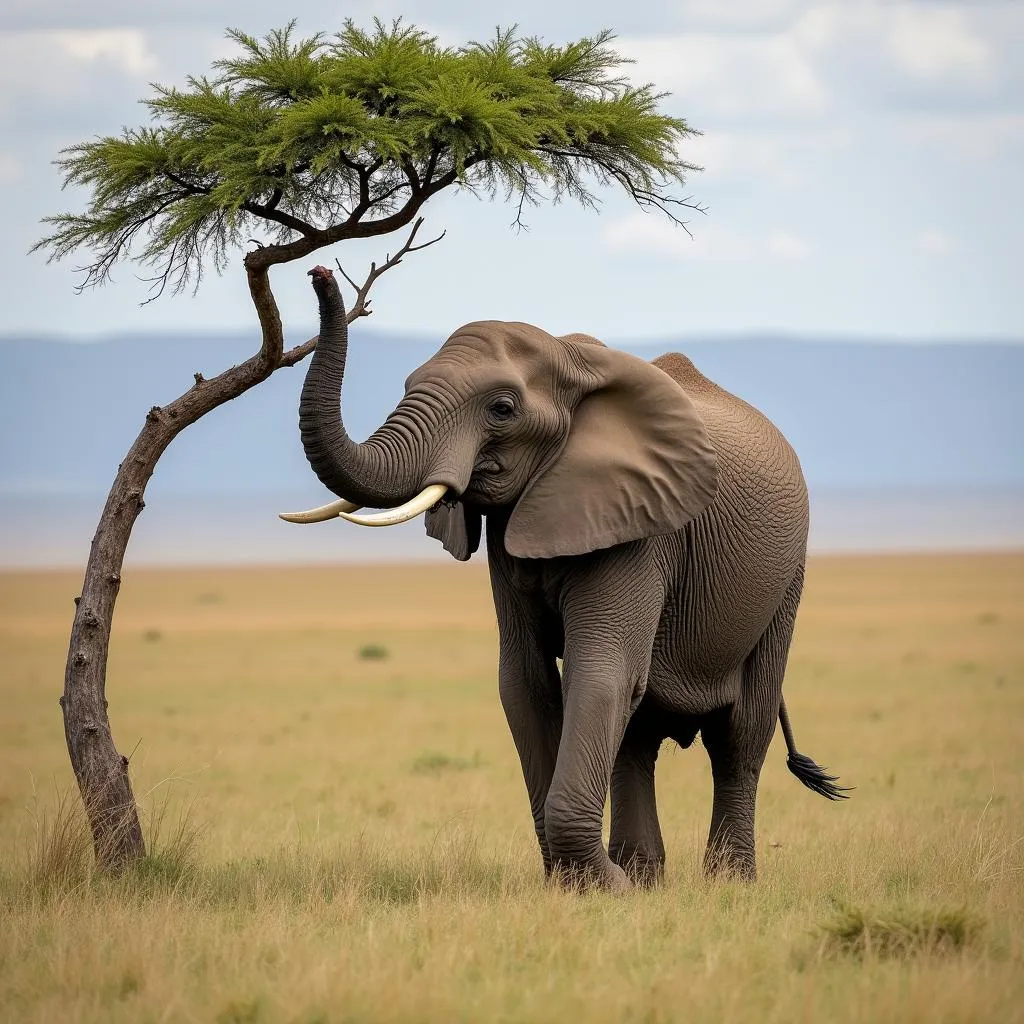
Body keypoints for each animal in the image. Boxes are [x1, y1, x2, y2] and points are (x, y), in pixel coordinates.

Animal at [282, 266, 847, 888]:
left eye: (502, 409)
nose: (317, 272)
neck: (573, 362)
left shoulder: (642, 526)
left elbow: (598, 672)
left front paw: (606, 889)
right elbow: (525, 683)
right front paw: (580, 888)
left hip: (787, 578)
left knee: (740, 732)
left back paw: (726, 883)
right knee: (638, 729)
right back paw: (645, 876)